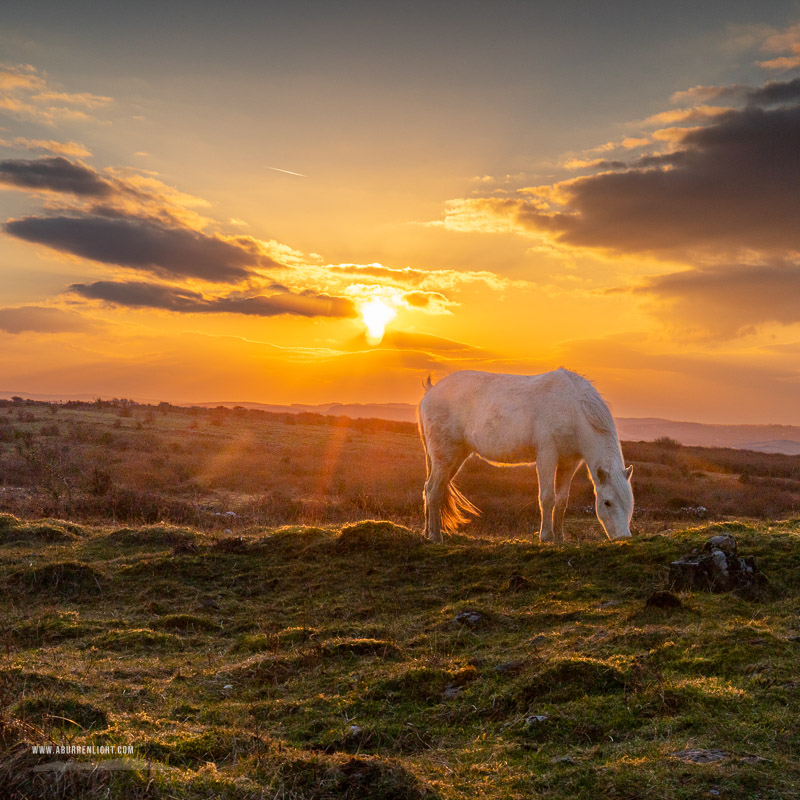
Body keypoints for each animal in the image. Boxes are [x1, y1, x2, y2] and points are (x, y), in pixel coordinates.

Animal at [417, 368, 634, 543]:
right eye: (607, 502)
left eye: (629, 502)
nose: (623, 538)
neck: (573, 409)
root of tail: (430, 392)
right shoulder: (547, 456)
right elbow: (547, 497)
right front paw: (546, 537)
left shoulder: (569, 463)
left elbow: (561, 501)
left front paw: (559, 537)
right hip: (445, 456)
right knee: (434, 491)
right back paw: (435, 536)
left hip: (456, 457)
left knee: (430, 488)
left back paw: (427, 533)